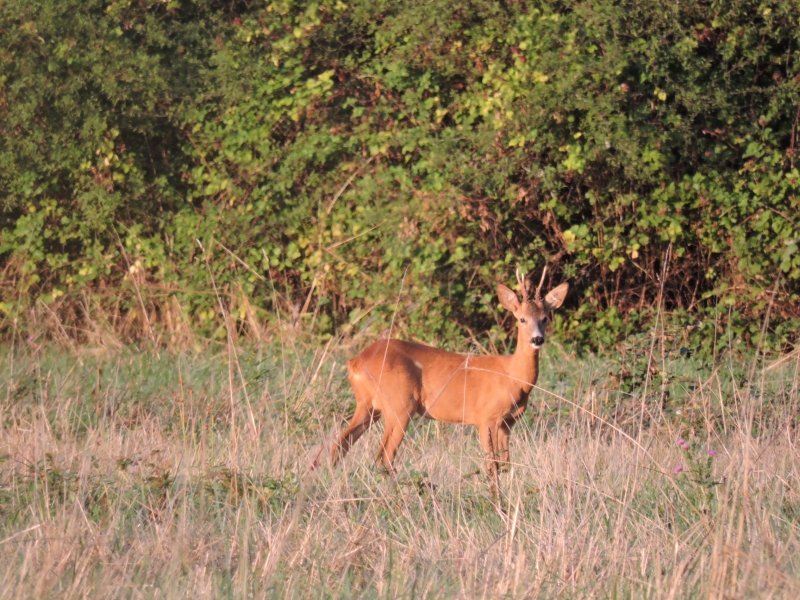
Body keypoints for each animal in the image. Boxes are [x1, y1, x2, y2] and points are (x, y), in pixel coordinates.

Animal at [332, 268, 568, 496]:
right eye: (522, 319)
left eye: (545, 318)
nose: (537, 339)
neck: (513, 377)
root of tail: (356, 362)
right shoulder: (486, 417)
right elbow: (492, 465)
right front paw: (495, 500)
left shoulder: (508, 422)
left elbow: (505, 464)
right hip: (399, 405)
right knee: (384, 455)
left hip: (369, 405)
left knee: (340, 444)